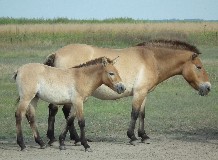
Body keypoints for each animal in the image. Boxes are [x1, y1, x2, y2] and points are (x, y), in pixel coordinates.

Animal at [43, 39, 211, 146]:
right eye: (199, 67)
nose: (208, 87)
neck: (151, 59)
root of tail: (56, 53)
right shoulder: (139, 93)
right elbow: (134, 113)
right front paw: (132, 137)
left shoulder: (143, 93)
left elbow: (142, 114)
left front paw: (143, 136)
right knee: (59, 111)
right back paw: (62, 139)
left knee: (60, 111)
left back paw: (68, 138)